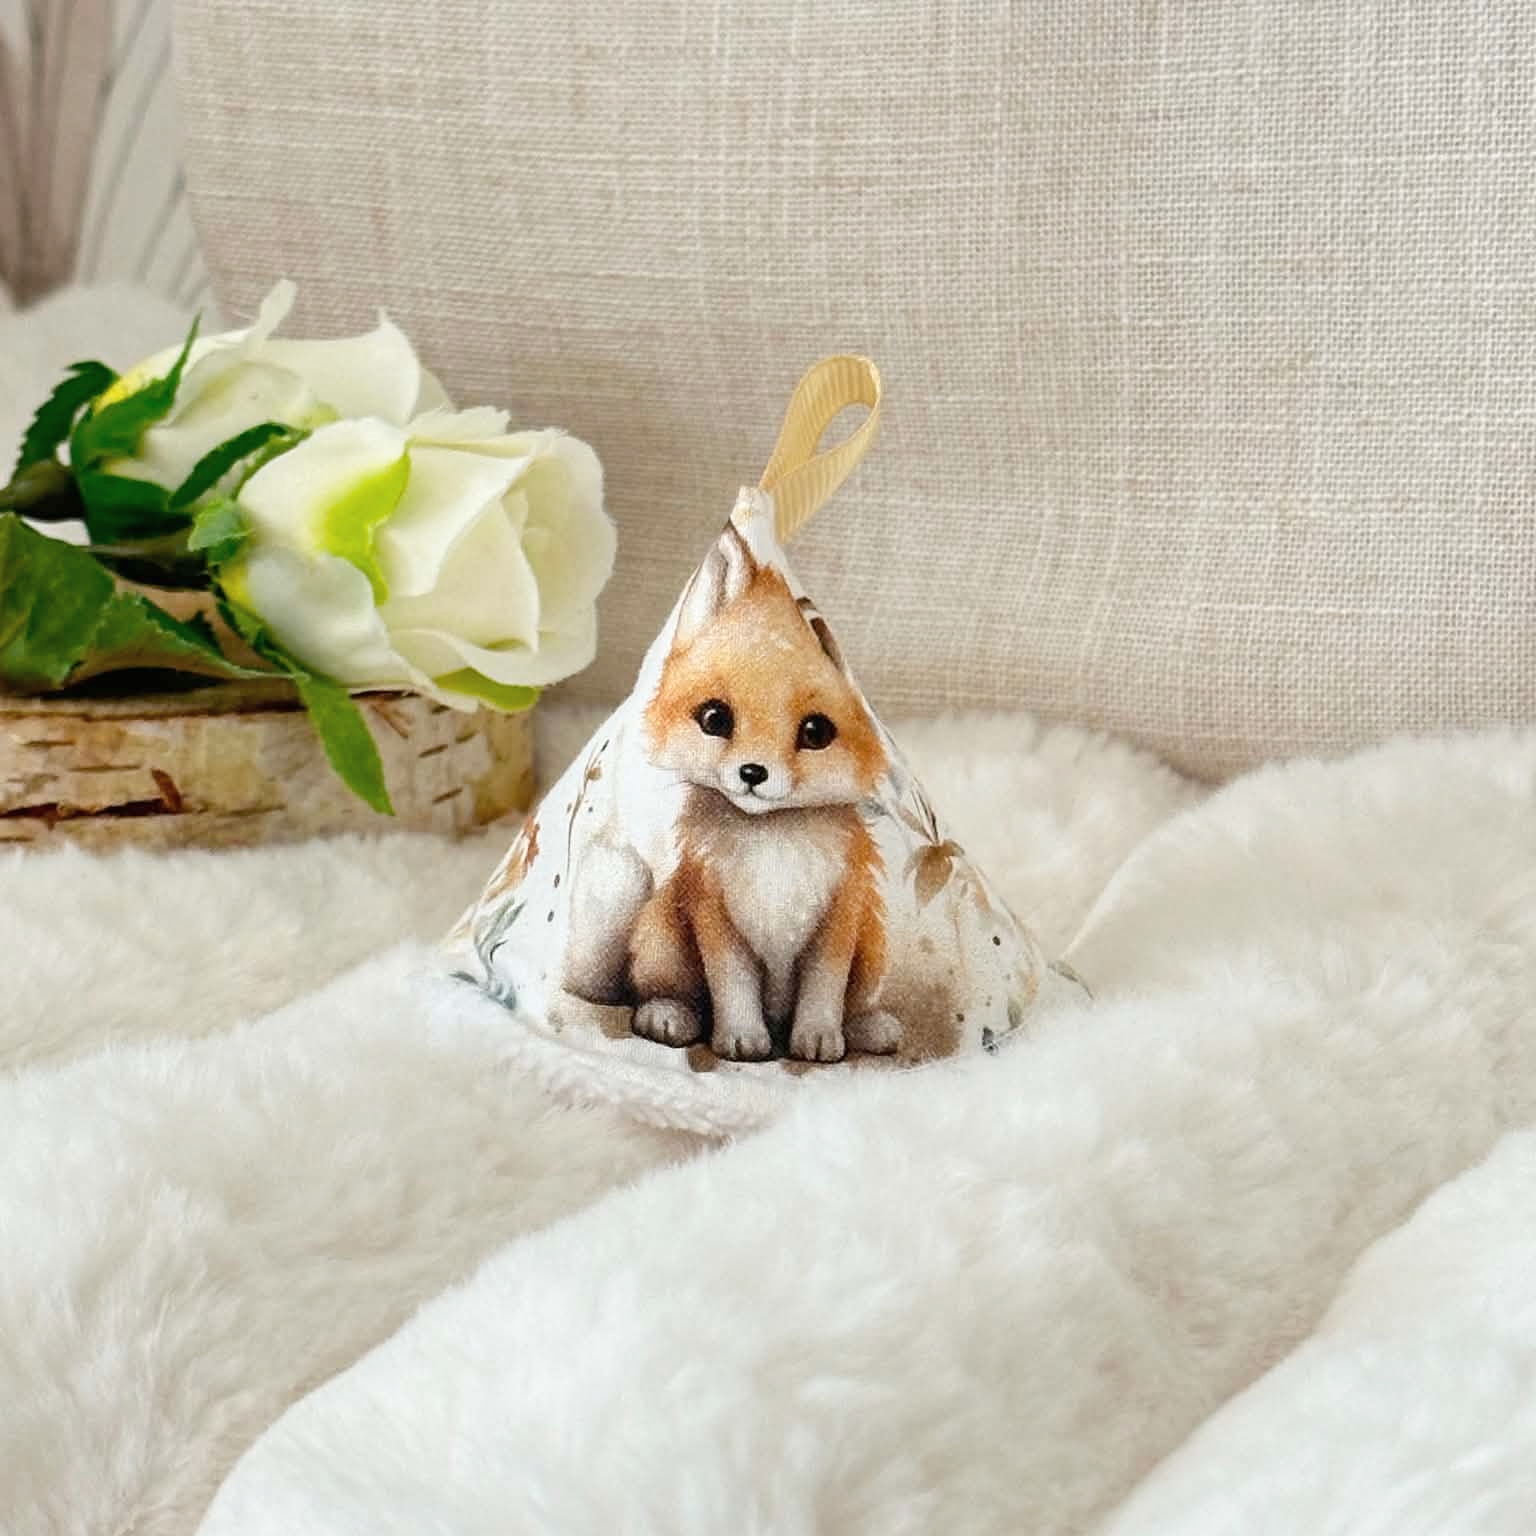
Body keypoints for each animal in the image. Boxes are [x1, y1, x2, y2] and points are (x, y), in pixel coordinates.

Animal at [622, 523, 903, 1064]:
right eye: (715, 718)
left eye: (815, 732)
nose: (753, 771)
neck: (772, 841)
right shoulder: (713, 913)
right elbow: (732, 985)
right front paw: (741, 1039)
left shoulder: (840, 915)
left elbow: (824, 989)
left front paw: (817, 1037)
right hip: (662, 935)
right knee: (671, 992)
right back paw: (667, 1015)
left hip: (874, 944)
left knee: (857, 1001)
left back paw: (868, 1027)